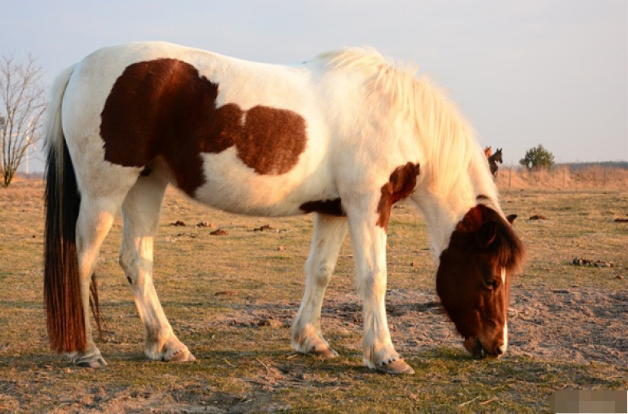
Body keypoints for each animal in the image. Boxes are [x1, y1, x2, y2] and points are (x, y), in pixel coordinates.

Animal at [44, 42, 524, 376]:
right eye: (489, 280)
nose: (497, 347)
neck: (394, 114)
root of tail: (79, 67)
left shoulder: (334, 210)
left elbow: (321, 272)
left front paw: (311, 340)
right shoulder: (368, 205)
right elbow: (374, 278)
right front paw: (386, 355)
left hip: (146, 185)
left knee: (135, 261)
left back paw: (166, 344)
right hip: (106, 191)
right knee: (81, 260)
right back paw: (85, 351)